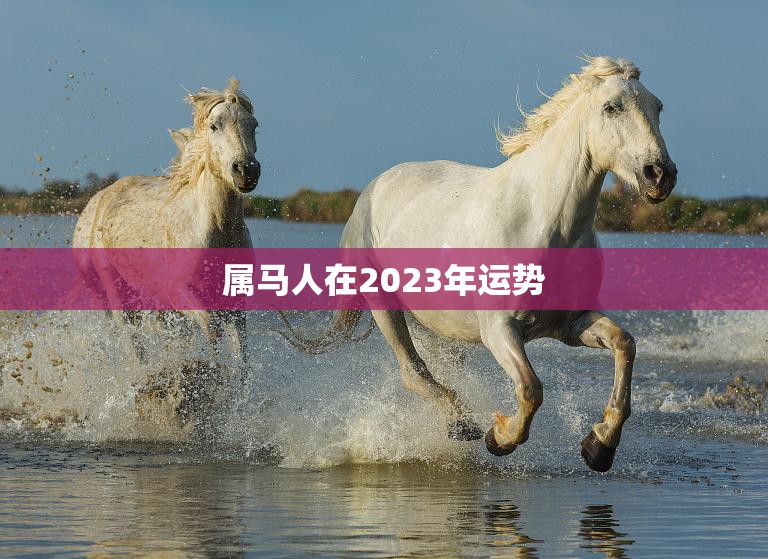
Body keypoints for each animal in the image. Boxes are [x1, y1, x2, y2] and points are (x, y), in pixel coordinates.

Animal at [73, 78, 260, 368]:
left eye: (254, 125)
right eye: (214, 126)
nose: (246, 171)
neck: (217, 230)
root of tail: (103, 195)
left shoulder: (237, 300)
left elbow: (241, 357)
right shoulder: (178, 293)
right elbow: (210, 329)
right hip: (116, 291)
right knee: (133, 341)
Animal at [282, 56, 677, 472]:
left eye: (658, 107)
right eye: (611, 107)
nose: (660, 175)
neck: (543, 223)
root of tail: (373, 188)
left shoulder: (572, 323)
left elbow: (624, 344)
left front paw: (599, 446)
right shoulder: (499, 328)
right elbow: (531, 389)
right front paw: (499, 437)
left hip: (438, 324)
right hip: (384, 305)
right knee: (413, 371)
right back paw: (462, 425)